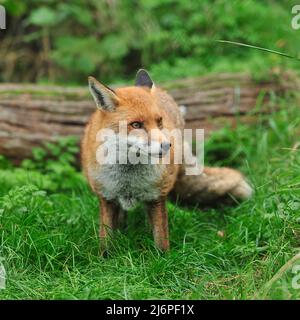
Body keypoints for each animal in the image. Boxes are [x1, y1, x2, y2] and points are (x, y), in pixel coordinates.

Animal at [81, 69, 252, 252]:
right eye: (136, 125)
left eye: (159, 121)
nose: (167, 145)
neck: (128, 179)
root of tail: (163, 92)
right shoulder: (106, 197)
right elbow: (105, 241)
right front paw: (107, 256)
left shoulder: (157, 196)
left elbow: (161, 240)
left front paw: (162, 257)